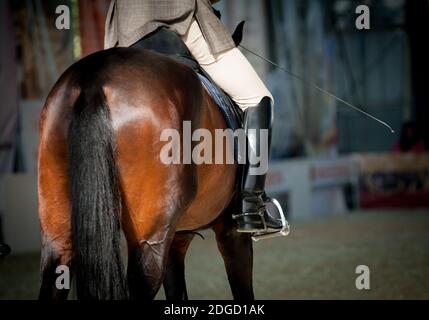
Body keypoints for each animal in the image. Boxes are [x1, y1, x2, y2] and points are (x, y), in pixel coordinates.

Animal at [38, 47, 252, 300]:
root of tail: (94, 76)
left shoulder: (178, 237)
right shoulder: (232, 230)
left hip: (57, 232)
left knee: (55, 270)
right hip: (150, 241)